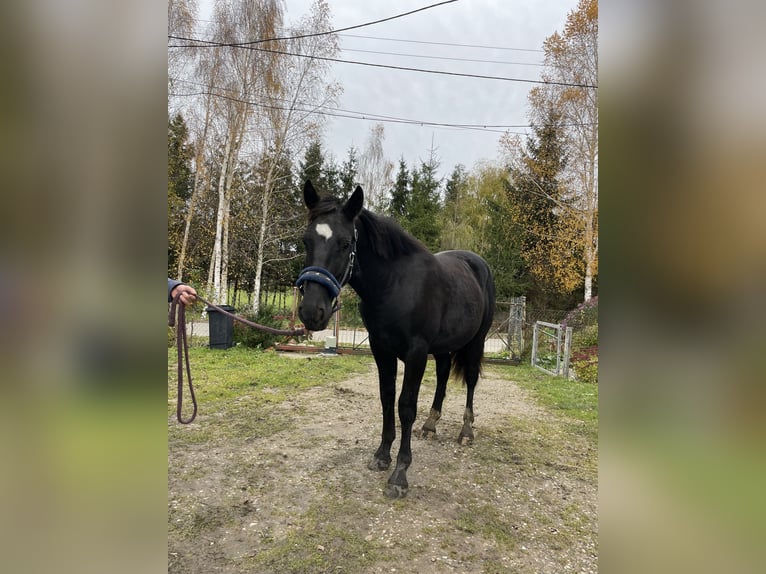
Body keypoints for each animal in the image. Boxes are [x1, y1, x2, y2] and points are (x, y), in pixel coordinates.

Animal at [296, 180, 496, 498]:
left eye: (345, 243)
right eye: (306, 241)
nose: (312, 311)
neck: (394, 284)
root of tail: (478, 264)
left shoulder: (415, 353)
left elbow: (406, 406)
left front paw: (400, 473)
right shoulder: (381, 349)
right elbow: (387, 399)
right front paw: (381, 455)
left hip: (476, 341)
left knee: (471, 381)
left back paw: (466, 431)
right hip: (443, 348)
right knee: (442, 376)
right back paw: (430, 425)